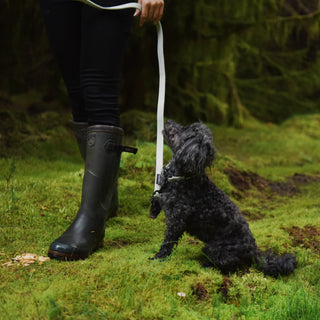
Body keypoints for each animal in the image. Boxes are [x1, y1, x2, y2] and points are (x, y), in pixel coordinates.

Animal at [150, 119, 298, 276]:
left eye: (186, 129)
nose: (168, 121)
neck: (183, 176)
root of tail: (254, 251)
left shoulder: (176, 221)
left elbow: (167, 242)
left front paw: (158, 258)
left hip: (214, 249)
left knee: (230, 265)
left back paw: (206, 265)